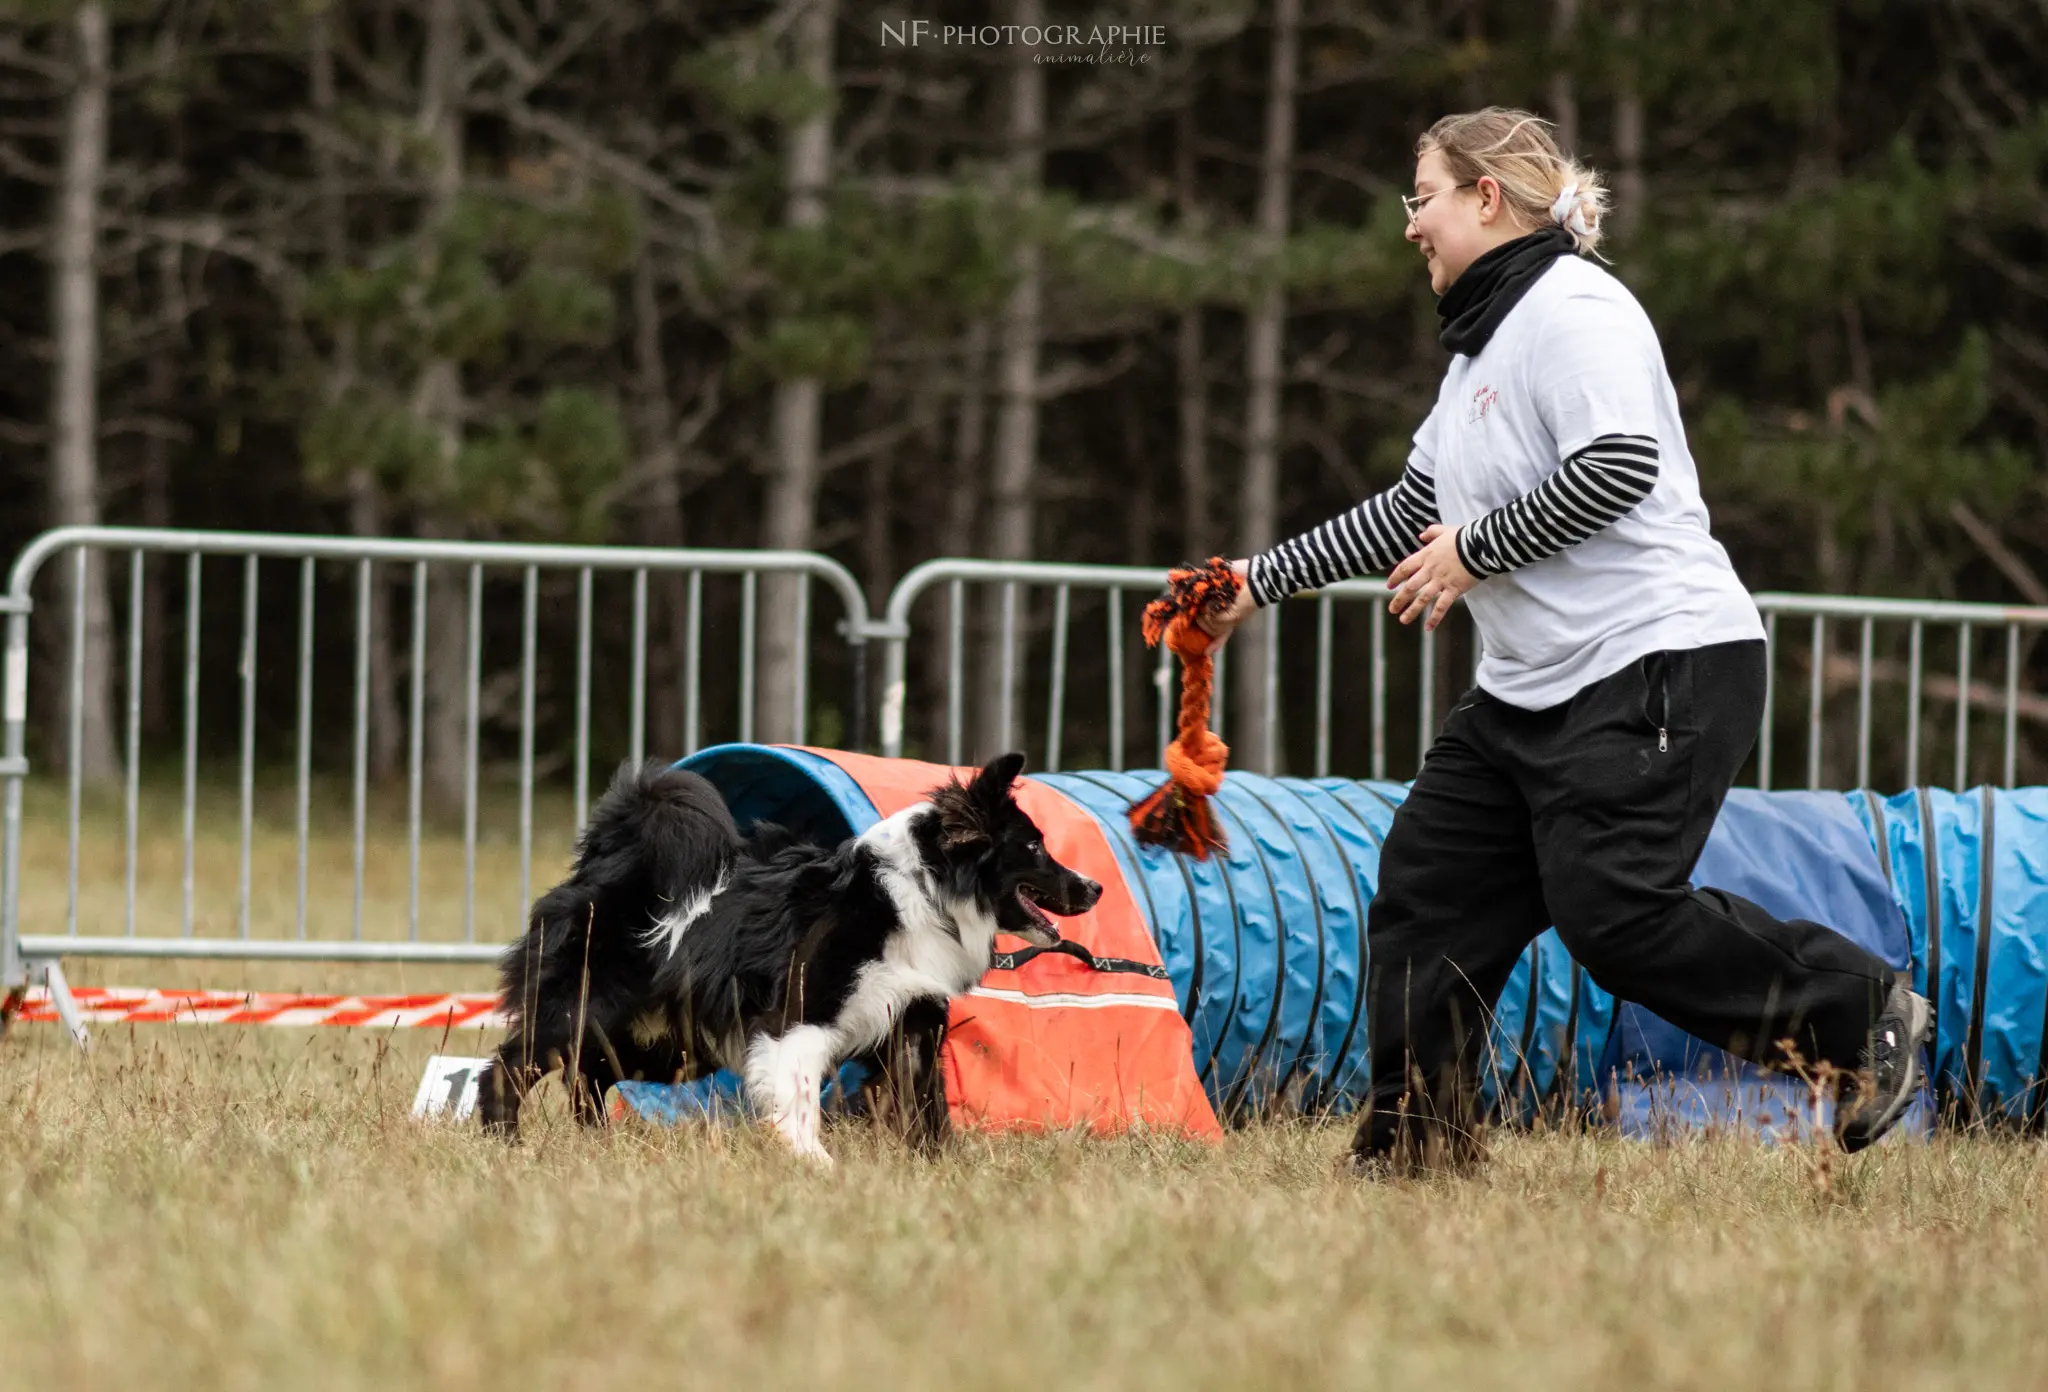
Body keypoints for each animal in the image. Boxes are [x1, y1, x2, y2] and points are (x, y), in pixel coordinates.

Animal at [475, 757, 1105, 1154]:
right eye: (1033, 847)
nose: (1095, 887)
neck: (918, 894)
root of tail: (607, 855)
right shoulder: (795, 1022)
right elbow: (798, 1098)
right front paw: (813, 1164)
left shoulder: (913, 1023)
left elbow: (927, 1110)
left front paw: (936, 1169)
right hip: (584, 1010)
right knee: (508, 1067)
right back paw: (505, 1144)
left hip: (665, 1043)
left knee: (591, 1079)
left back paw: (597, 1148)